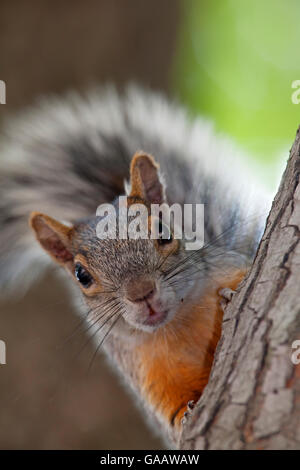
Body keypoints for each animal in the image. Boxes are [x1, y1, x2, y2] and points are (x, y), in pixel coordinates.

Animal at [0, 86, 268, 446]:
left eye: (164, 231)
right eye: (81, 275)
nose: (142, 294)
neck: (178, 327)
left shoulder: (229, 266)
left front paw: (227, 298)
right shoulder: (144, 372)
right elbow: (169, 415)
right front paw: (183, 417)